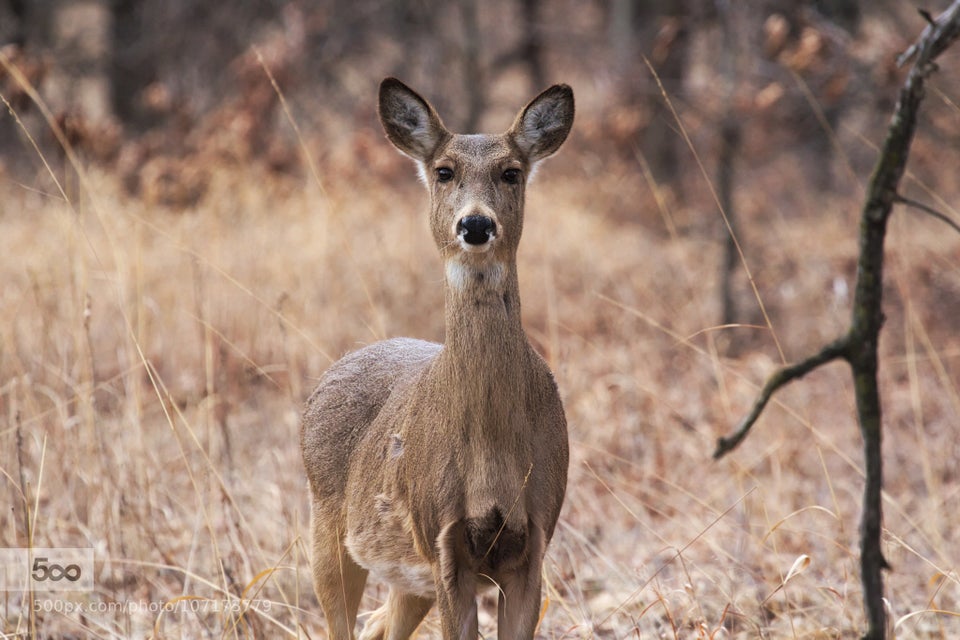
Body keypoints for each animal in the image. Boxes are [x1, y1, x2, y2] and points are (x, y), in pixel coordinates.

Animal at [300, 79, 568, 640]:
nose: (476, 223)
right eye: (444, 171)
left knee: (379, 625)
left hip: (407, 576)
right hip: (328, 530)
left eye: (511, 171)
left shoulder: (535, 538)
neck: (492, 454)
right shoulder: (442, 539)